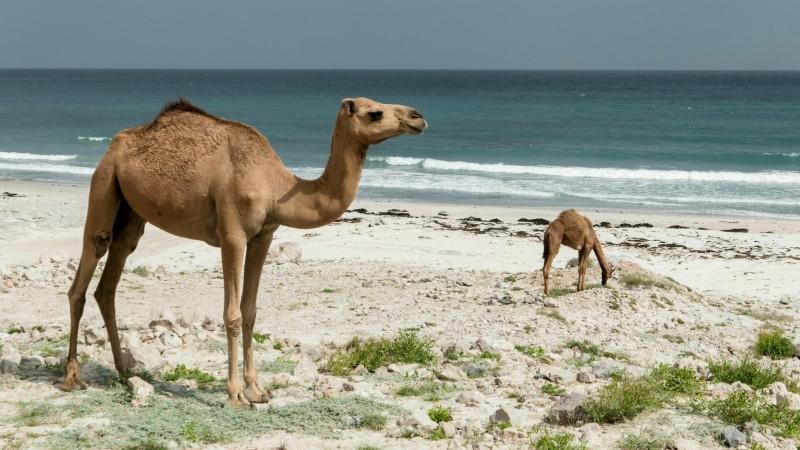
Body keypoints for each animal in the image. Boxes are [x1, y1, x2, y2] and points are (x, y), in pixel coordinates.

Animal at [62, 97, 427, 406]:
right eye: (375, 113)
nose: (417, 117)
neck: (275, 186)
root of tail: (116, 144)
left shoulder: (264, 236)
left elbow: (250, 311)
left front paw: (257, 390)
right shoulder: (233, 235)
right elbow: (233, 314)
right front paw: (236, 394)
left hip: (131, 209)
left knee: (111, 277)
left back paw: (124, 370)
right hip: (105, 182)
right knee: (85, 269)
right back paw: (72, 377)